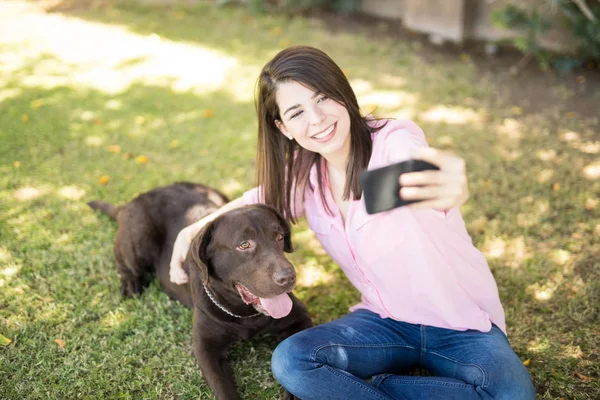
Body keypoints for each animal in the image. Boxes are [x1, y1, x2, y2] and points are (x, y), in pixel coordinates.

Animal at [91, 182, 314, 400]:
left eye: (279, 237)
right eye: (244, 245)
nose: (288, 277)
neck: (244, 314)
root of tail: (135, 199)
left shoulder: (300, 318)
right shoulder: (205, 347)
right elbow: (224, 389)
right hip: (139, 237)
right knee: (125, 263)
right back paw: (130, 284)